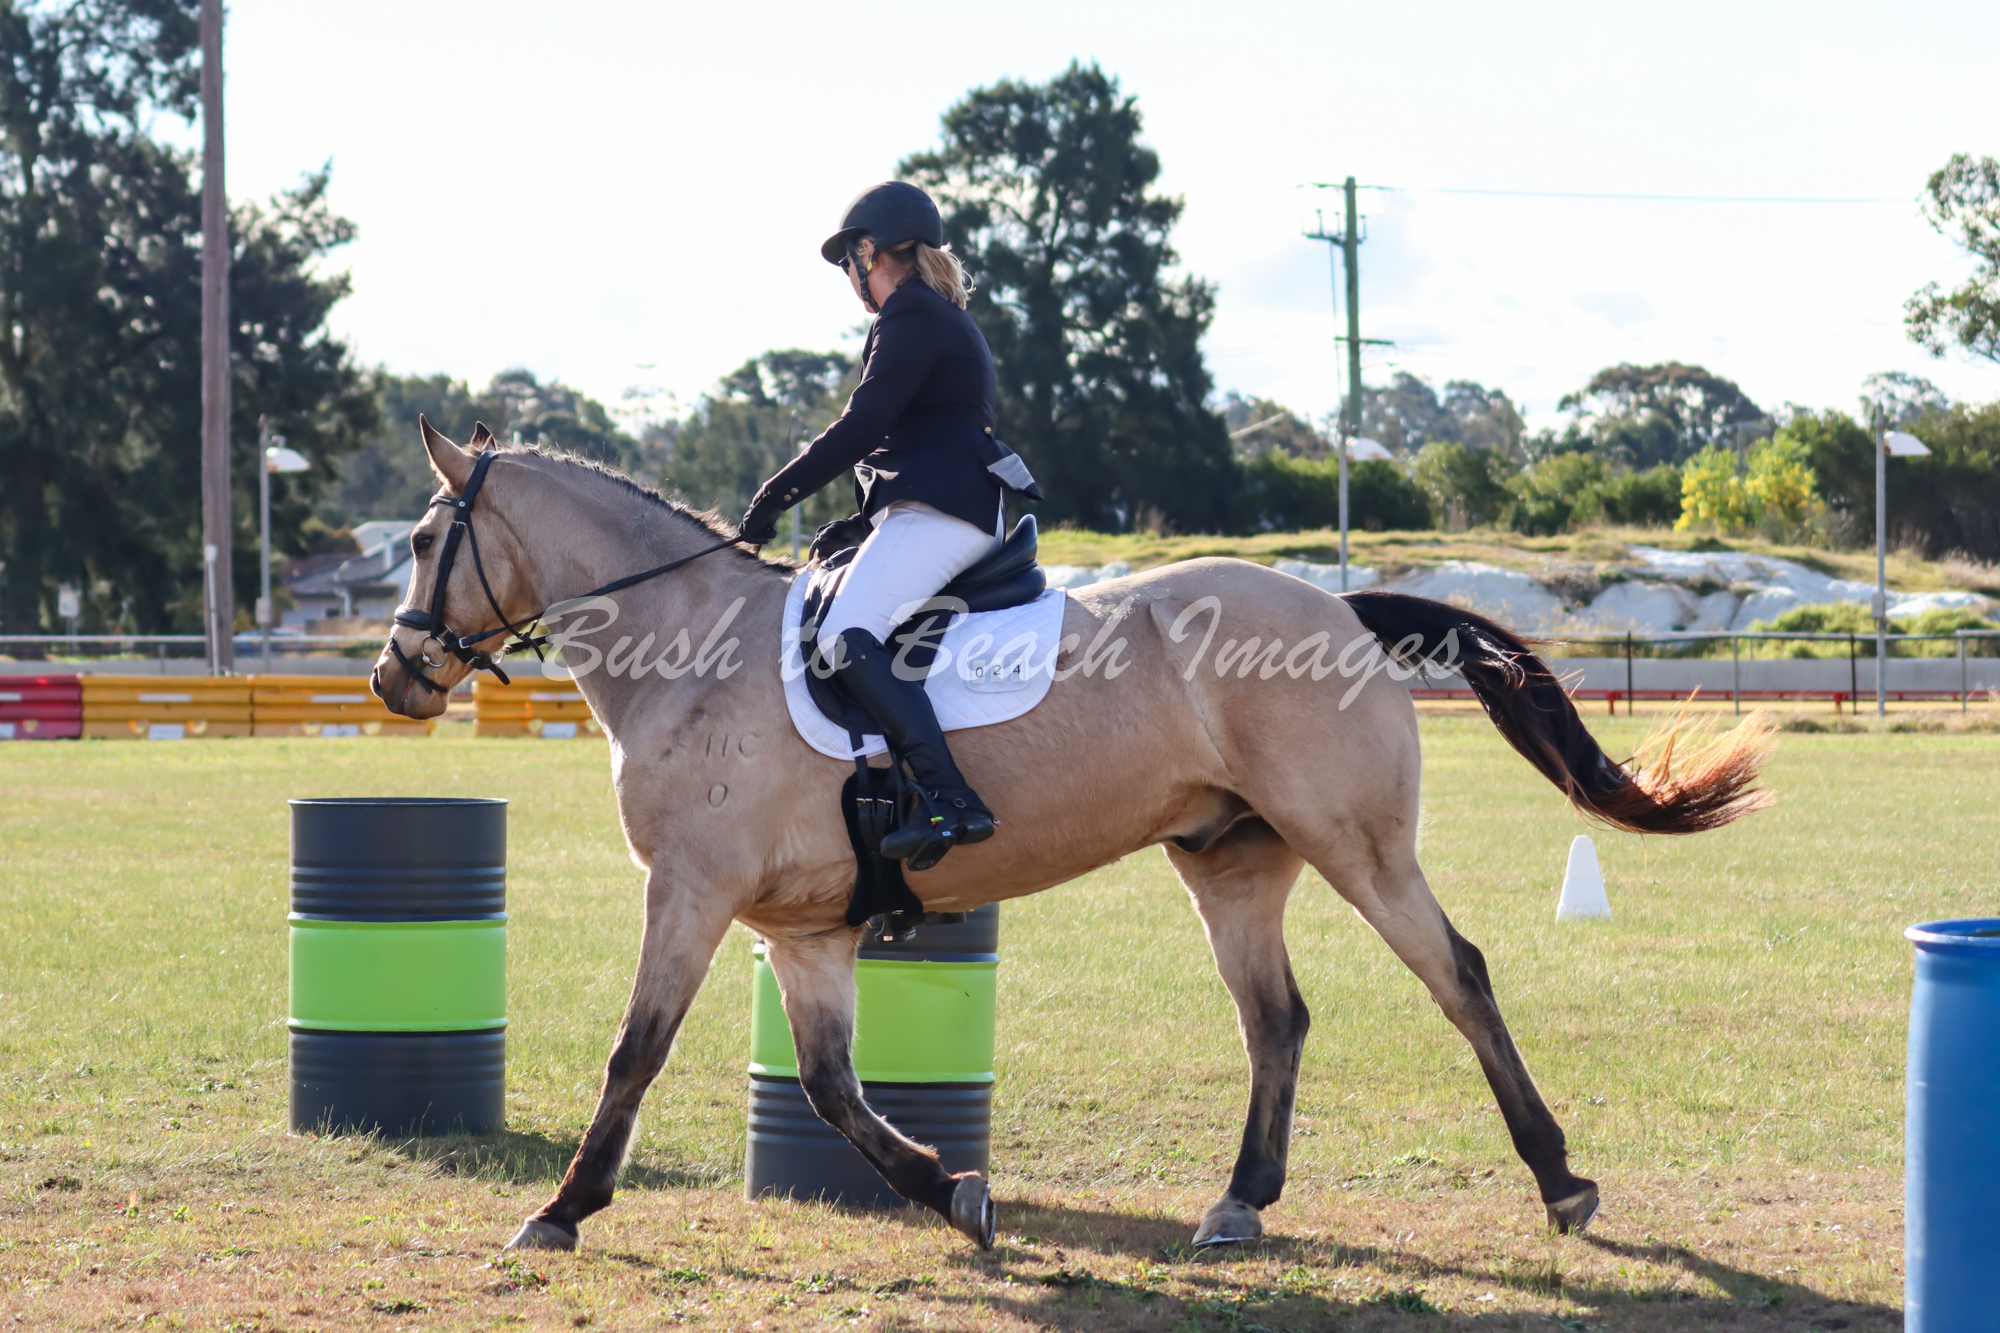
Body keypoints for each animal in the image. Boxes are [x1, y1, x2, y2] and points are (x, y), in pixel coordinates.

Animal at [370, 421, 1773, 1254]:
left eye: (431, 539)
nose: (394, 677)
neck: (691, 655)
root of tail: (1337, 610)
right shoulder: (804, 930)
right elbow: (828, 1086)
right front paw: (954, 1189)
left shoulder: (691, 892)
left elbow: (634, 1052)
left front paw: (560, 1210)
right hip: (1230, 860)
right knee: (1276, 1018)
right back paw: (1238, 1201)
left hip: (1355, 846)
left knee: (1456, 975)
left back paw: (1559, 1180)